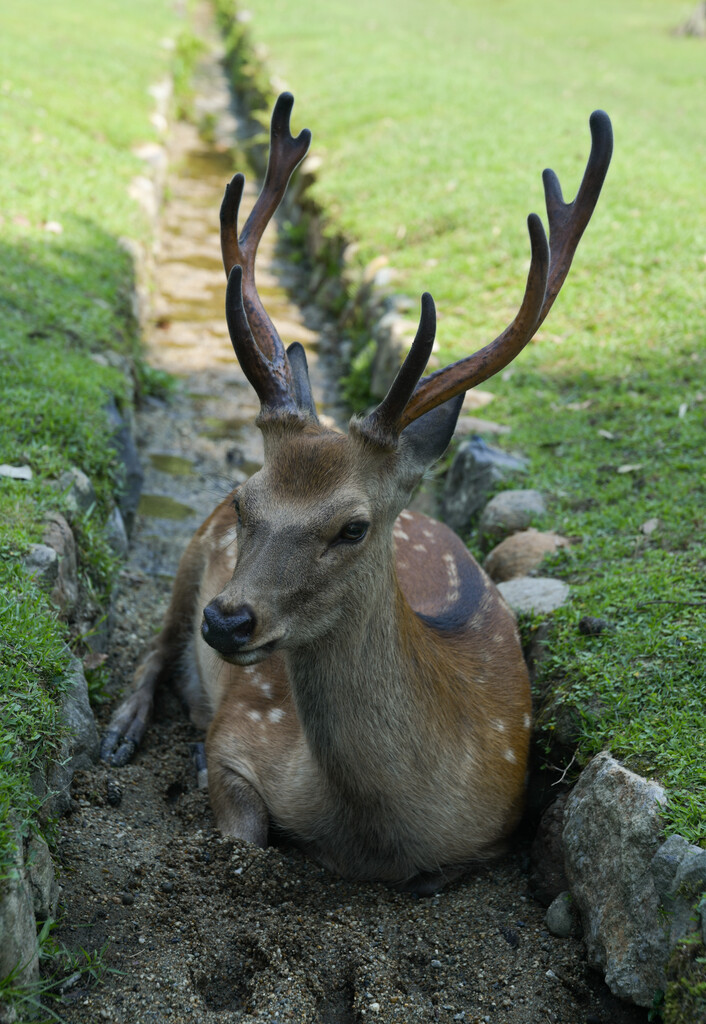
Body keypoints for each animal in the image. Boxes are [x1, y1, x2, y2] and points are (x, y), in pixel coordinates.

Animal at [101, 96, 614, 897]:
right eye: (247, 499)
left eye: (353, 528)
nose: (229, 619)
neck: (373, 830)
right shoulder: (244, 732)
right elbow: (245, 831)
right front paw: (196, 756)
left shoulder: (497, 831)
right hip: (188, 558)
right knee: (155, 644)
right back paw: (122, 732)